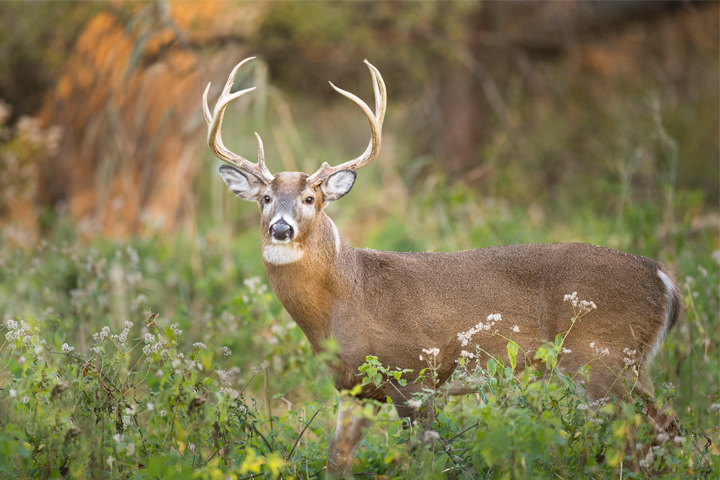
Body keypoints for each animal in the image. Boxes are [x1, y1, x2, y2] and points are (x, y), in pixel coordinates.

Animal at [203, 57, 683, 478]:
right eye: (266, 198)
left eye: (310, 198)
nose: (281, 228)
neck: (346, 296)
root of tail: (663, 277)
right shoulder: (354, 387)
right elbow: (336, 460)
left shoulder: (417, 374)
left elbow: (422, 459)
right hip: (625, 362)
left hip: (604, 356)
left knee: (656, 427)